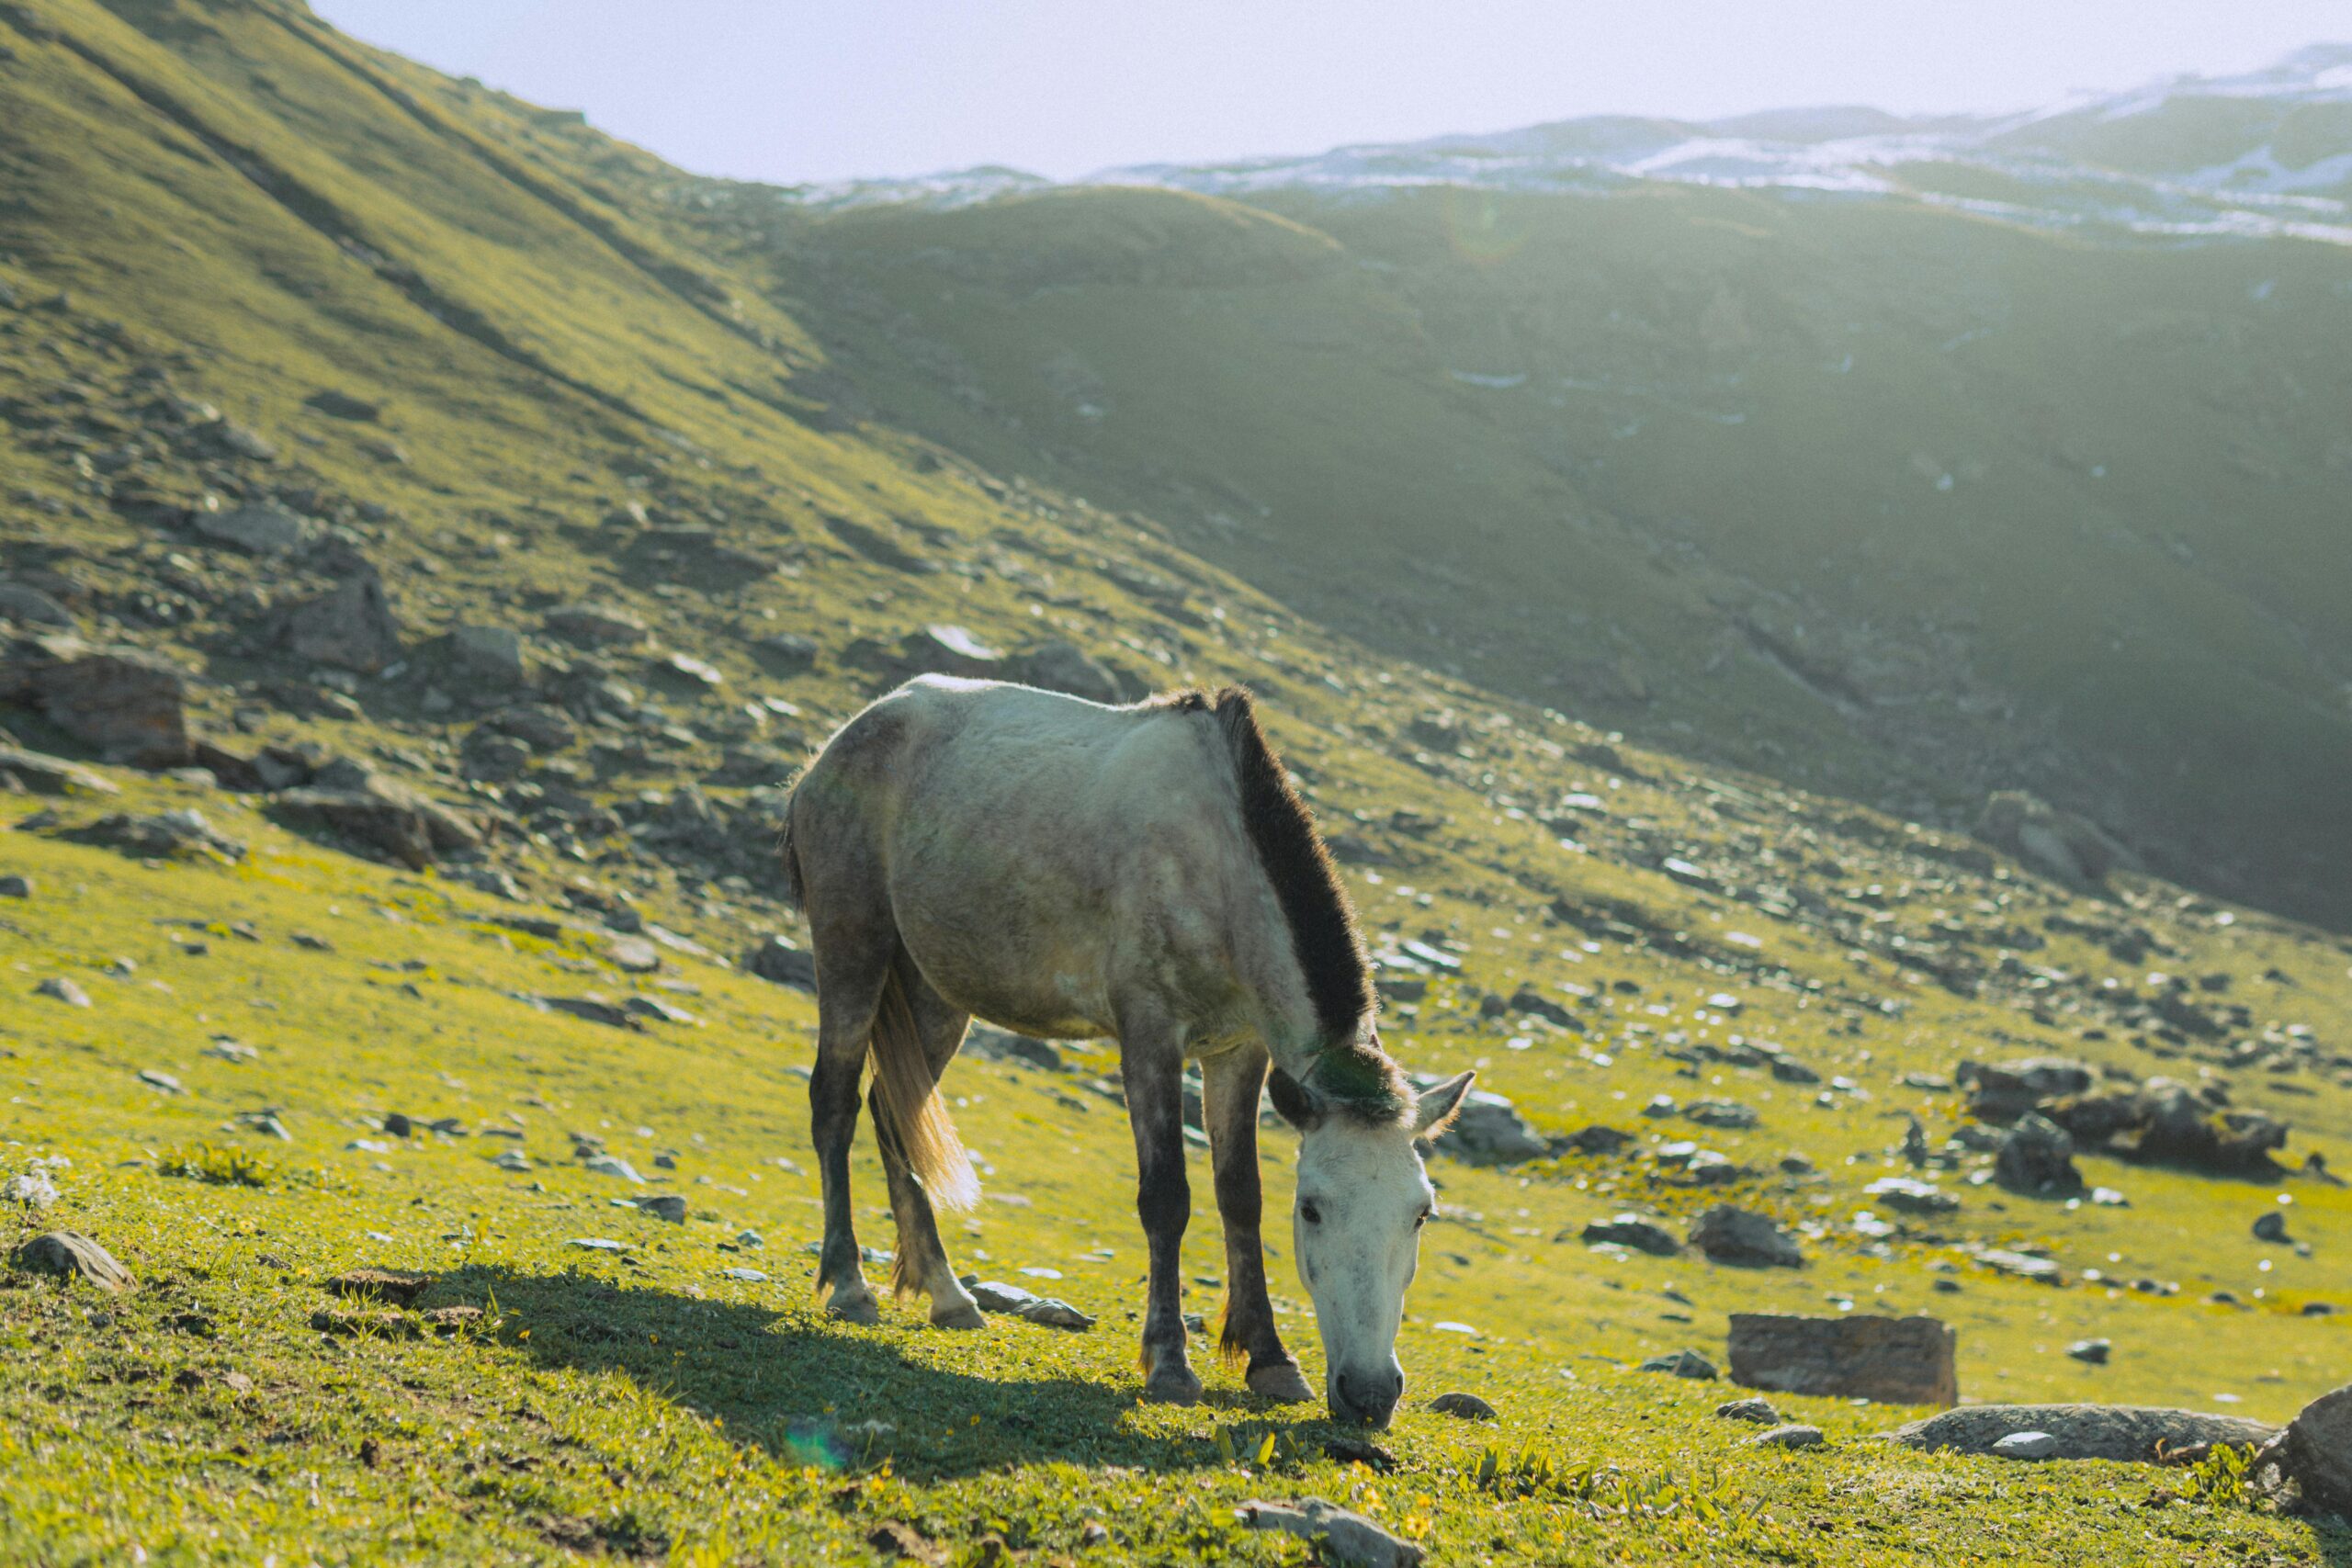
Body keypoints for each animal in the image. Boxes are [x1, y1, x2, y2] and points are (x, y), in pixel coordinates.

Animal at [780, 675, 1471, 1426]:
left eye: (1422, 1211)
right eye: (1313, 1208)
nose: (1370, 1394)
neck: (1219, 861)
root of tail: (840, 742)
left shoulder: (1240, 1050)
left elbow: (1241, 1196)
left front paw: (1271, 1361)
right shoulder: (1149, 1034)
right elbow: (1166, 1195)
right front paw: (1170, 1363)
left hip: (937, 991)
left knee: (892, 1110)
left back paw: (947, 1294)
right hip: (854, 945)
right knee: (835, 1102)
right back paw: (850, 1285)